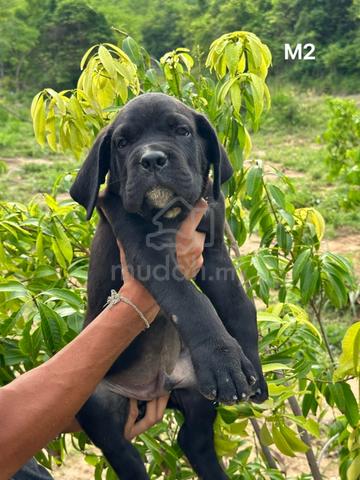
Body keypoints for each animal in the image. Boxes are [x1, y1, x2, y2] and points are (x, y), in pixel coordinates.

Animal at [70, 92, 268, 478]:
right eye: (122, 142)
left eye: (182, 131)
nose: (151, 159)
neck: (172, 216)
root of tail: (155, 386)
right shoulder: (144, 249)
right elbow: (191, 301)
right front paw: (222, 358)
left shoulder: (214, 250)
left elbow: (239, 306)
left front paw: (248, 365)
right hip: (95, 401)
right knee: (122, 452)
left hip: (197, 389)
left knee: (193, 439)